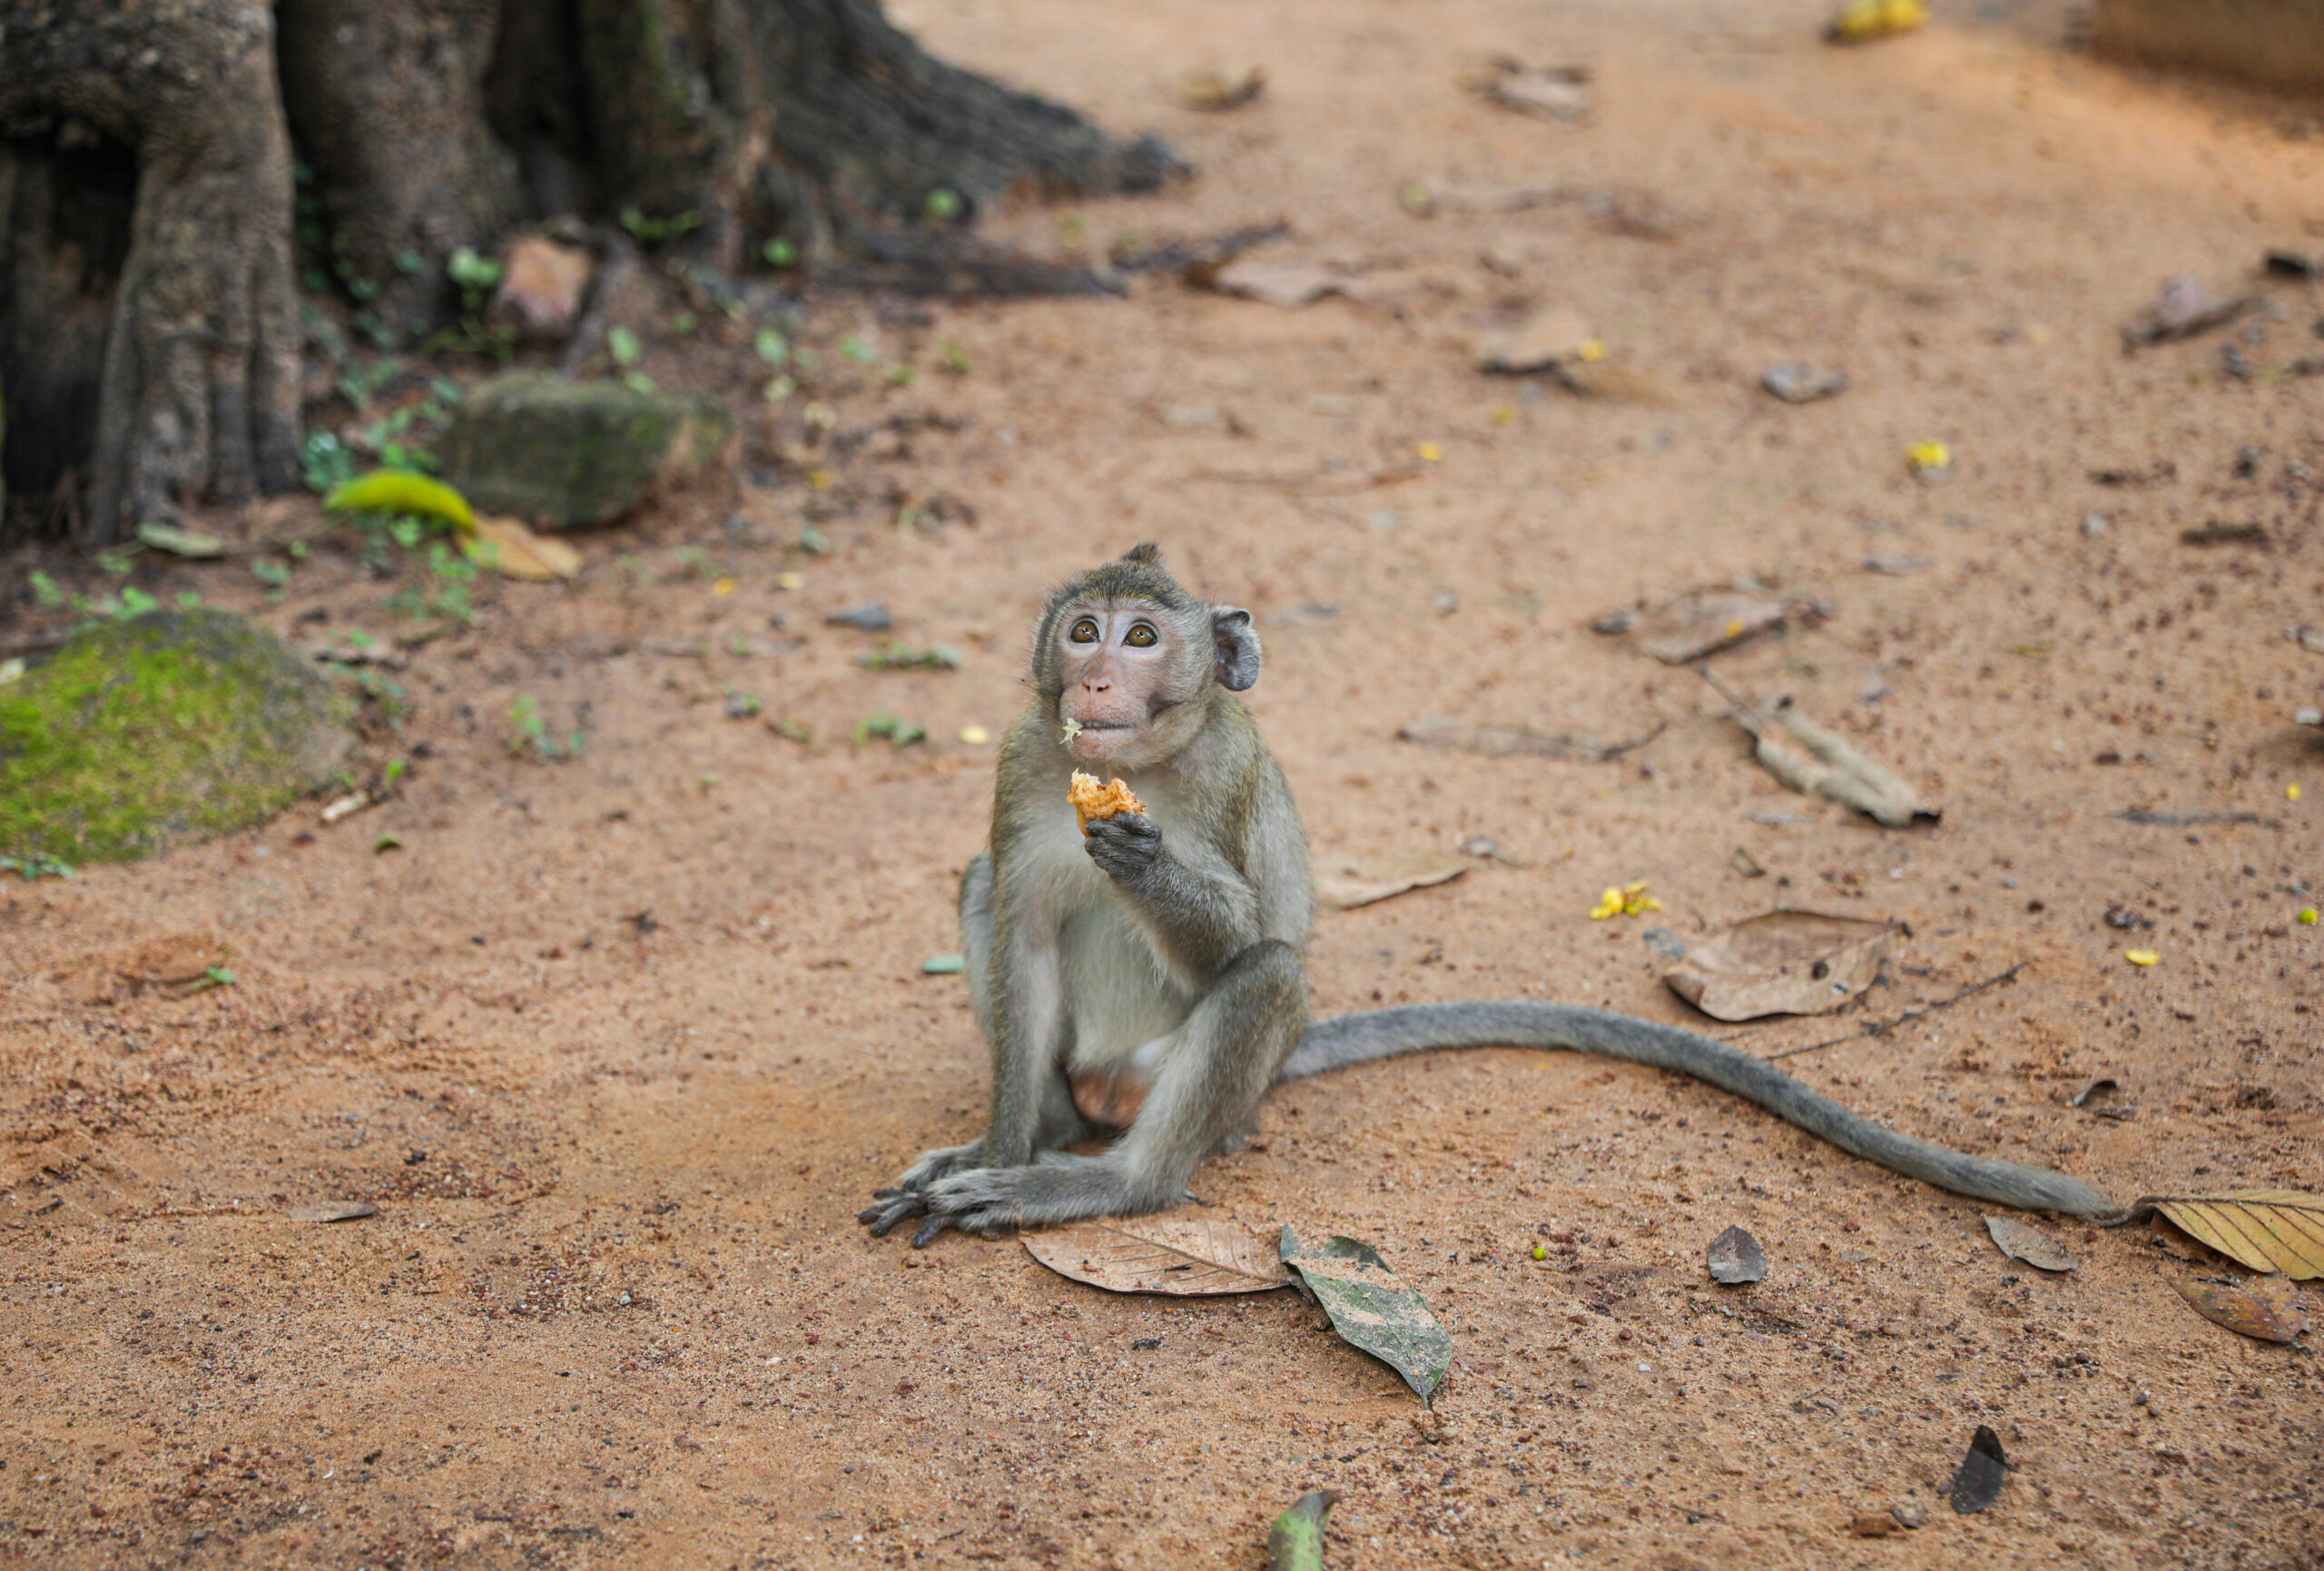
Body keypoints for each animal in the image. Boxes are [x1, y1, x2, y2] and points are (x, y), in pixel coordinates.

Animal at [860, 546, 2128, 1245]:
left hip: (1201, 1085)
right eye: (1082, 630)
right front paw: (994, 1145)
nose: (1096, 681)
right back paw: (1041, 1137)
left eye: (1139, 635)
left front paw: (1145, 856)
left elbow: (1246, 940)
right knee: (986, 888)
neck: (1153, 764)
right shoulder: (1025, 762)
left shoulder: (1223, 776)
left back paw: (1108, 1184)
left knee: (1266, 979)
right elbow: (1020, 925)